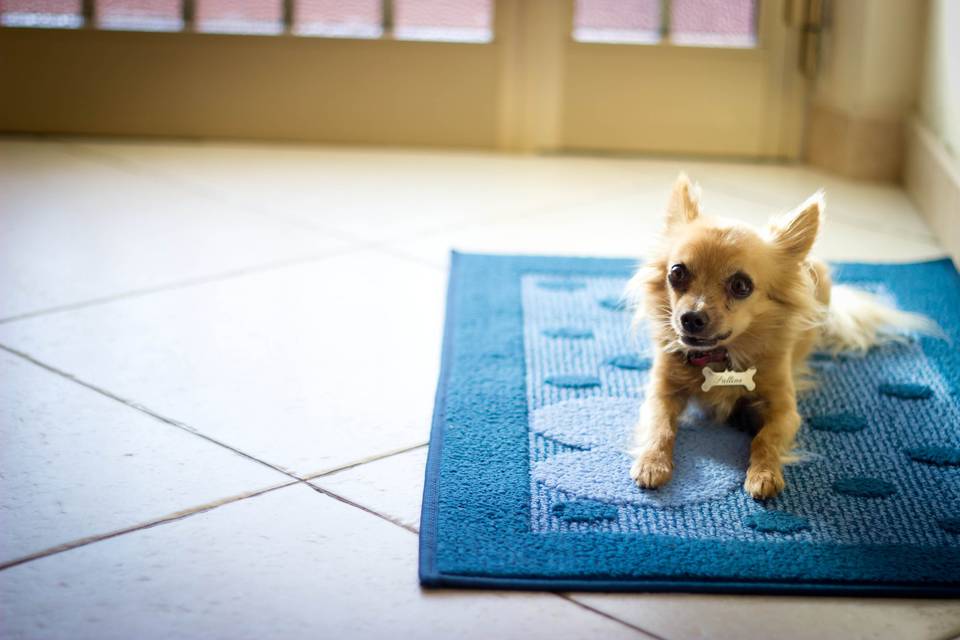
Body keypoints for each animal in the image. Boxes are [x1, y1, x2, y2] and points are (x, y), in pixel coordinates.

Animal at [628, 174, 932, 500]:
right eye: (677, 273)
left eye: (741, 285)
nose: (691, 318)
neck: (722, 358)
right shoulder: (661, 394)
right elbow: (660, 426)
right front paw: (652, 463)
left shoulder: (786, 411)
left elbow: (766, 438)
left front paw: (764, 474)